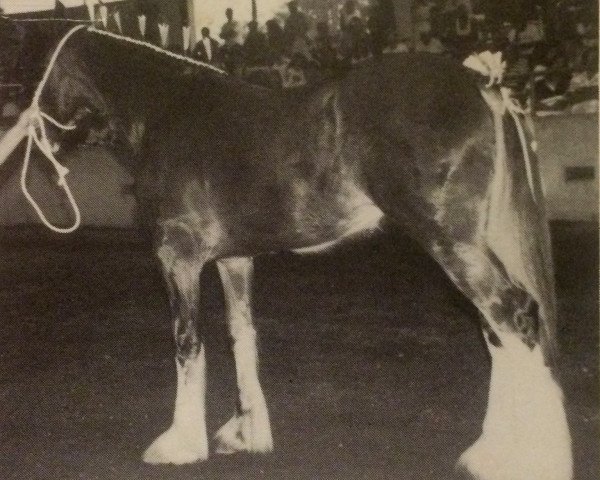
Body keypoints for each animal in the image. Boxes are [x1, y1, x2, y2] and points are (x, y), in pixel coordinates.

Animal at [0, 24, 572, 480]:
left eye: (27, 73)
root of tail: (482, 85)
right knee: (498, 331)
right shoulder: (233, 259)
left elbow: (188, 342)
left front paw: (180, 444)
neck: (166, 112)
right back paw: (490, 454)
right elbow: (242, 336)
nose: (20, 128)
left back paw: (533, 459)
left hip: (451, 242)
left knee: (514, 317)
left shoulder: (178, 256)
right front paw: (246, 433)